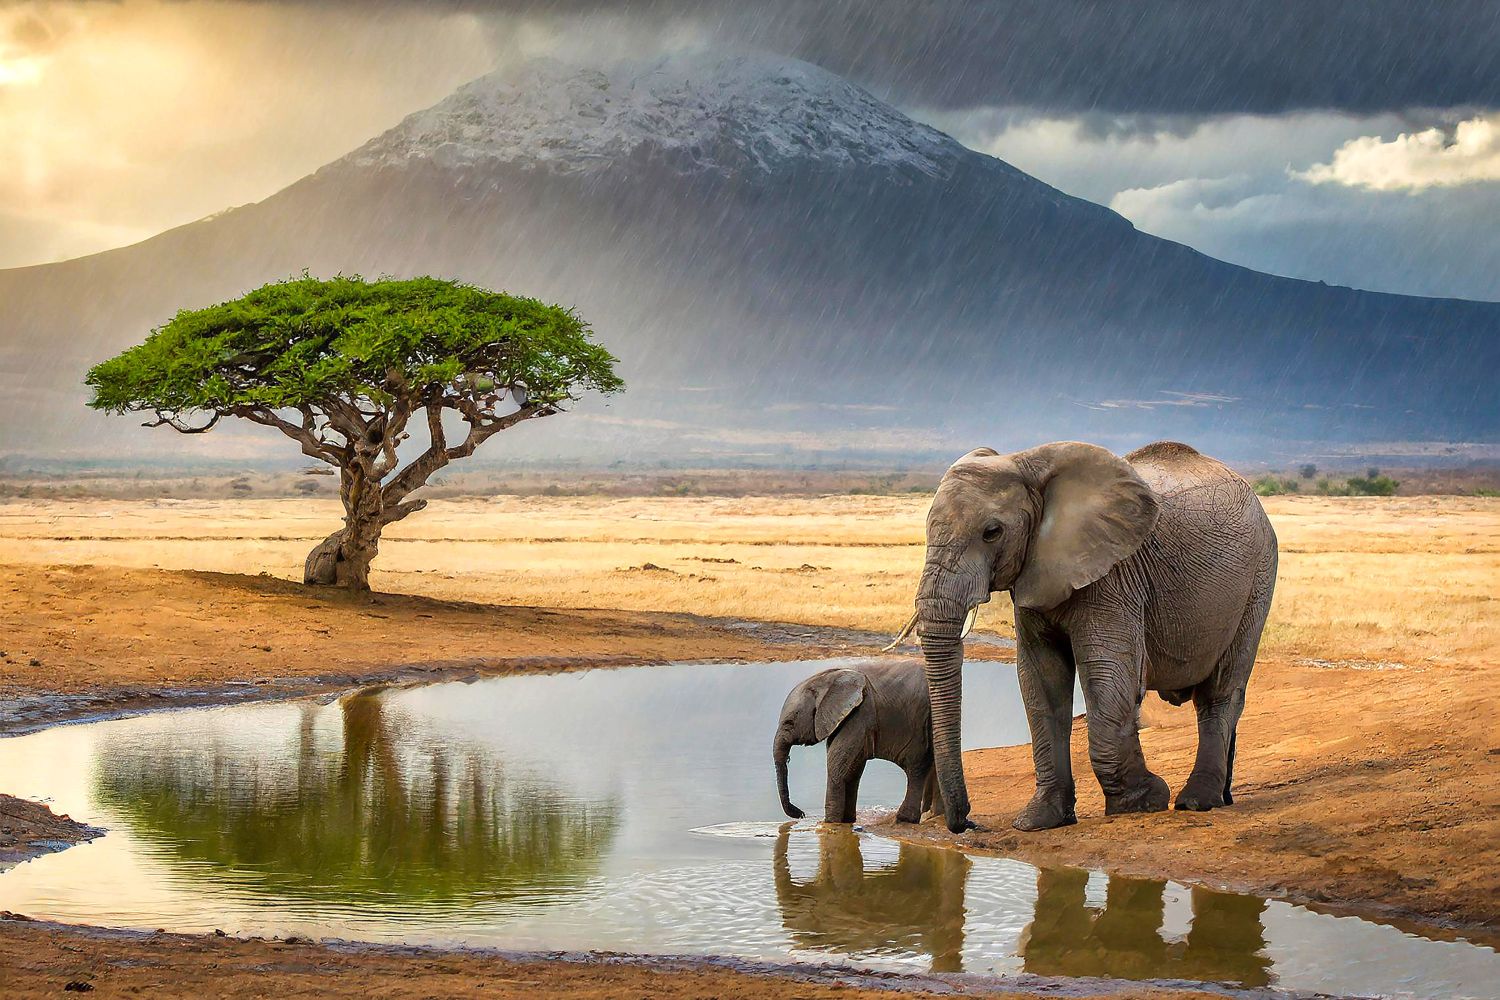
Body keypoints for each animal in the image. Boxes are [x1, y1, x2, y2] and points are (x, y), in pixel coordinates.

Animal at [774, 659, 936, 827]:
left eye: (789, 723)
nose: (802, 814)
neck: (825, 679)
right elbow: (853, 770)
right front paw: (847, 821)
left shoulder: (859, 715)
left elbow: (836, 766)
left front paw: (830, 823)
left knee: (916, 768)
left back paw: (904, 819)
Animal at [900, 440, 1278, 833]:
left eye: (992, 532)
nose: (968, 823)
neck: (1026, 464)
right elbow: (1041, 681)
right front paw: (1039, 821)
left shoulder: (1114, 577)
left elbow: (1108, 675)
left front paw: (1142, 803)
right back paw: (1222, 796)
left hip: (1258, 579)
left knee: (1220, 692)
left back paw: (1197, 802)